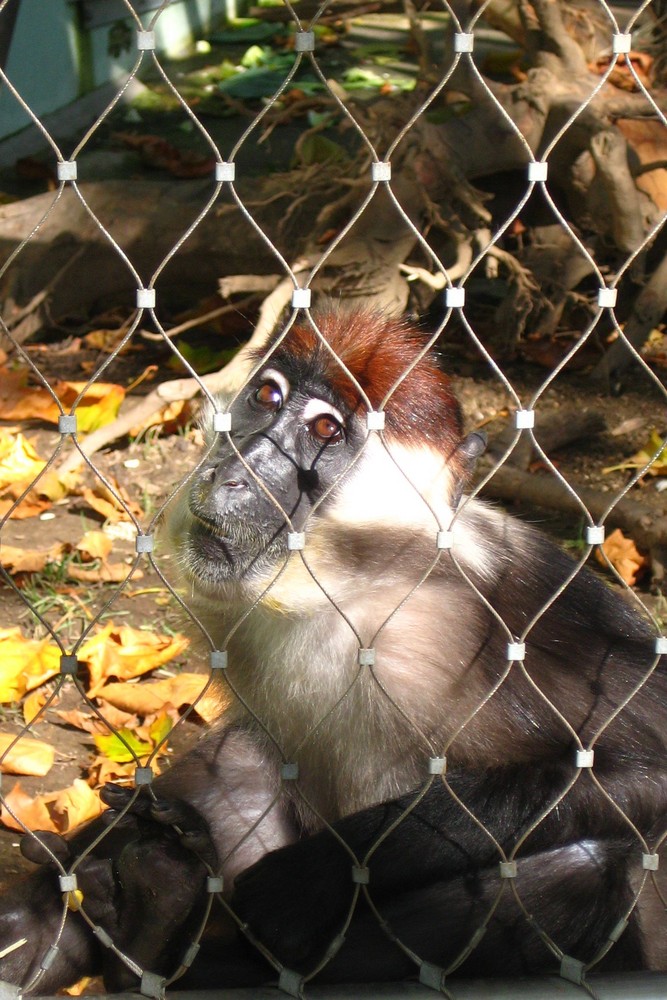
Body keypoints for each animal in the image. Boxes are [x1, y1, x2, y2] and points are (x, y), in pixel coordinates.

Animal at [1, 308, 667, 996]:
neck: (346, 588)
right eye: (268, 397)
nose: (232, 470)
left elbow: (641, 772)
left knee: (591, 864)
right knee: (241, 758)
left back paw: (160, 941)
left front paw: (306, 882)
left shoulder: (514, 597)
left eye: (325, 430)